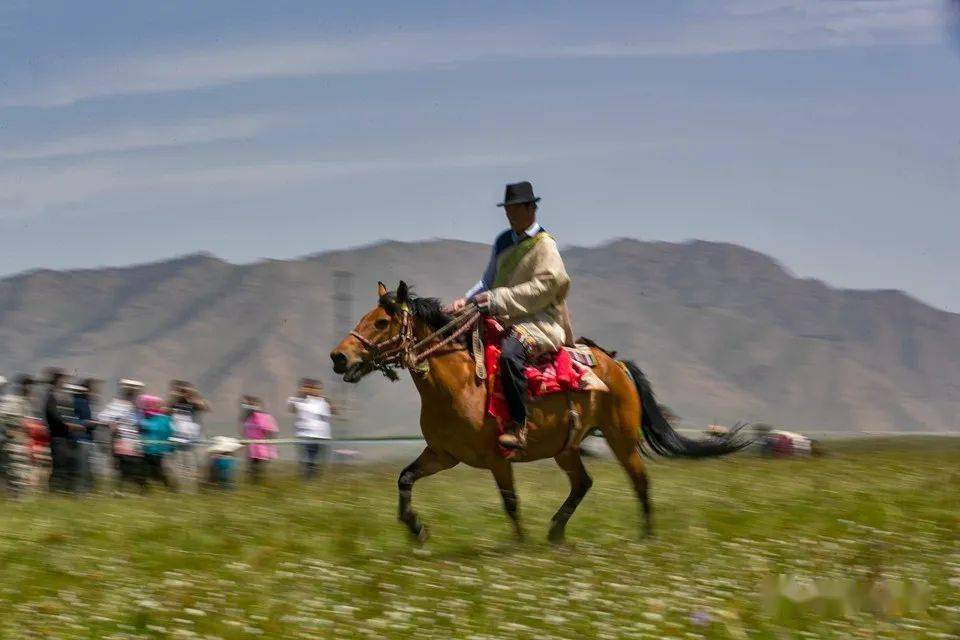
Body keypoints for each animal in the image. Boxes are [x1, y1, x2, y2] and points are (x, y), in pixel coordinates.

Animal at [332, 282, 752, 544]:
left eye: (381, 322)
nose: (339, 357)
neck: (458, 384)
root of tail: (617, 364)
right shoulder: (443, 454)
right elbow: (404, 478)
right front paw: (416, 528)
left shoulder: (497, 458)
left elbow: (511, 503)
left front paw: (519, 545)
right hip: (567, 447)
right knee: (583, 483)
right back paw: (555, 532)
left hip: (620, 438)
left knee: (640, 481)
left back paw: (646, 537)